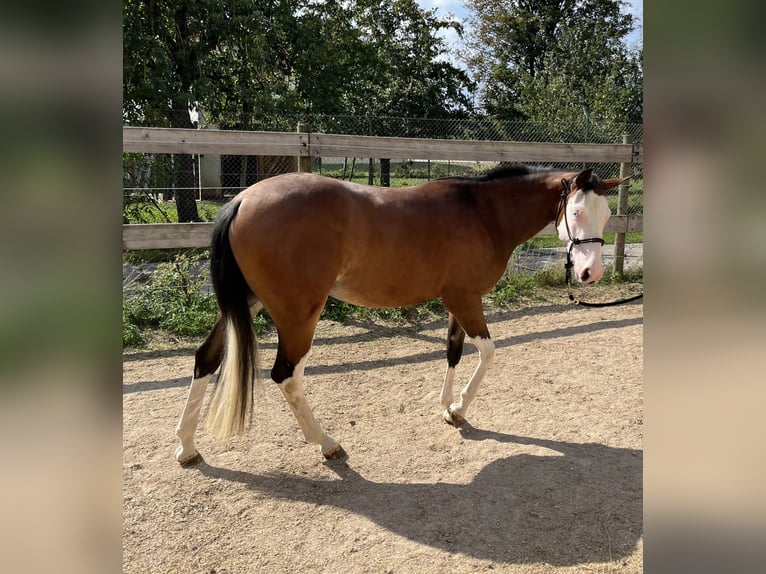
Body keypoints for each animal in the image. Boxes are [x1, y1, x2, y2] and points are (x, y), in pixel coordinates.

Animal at [176, 164, 632, 466]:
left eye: (607, 214)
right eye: (575, 212)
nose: (591, 273)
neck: (483, 213)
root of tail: (241, 200)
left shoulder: (458, 300)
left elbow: (453, 350)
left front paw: (448, 408)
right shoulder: (466, 300)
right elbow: (487, 353)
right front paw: (460, 407)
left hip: (247, 301)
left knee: (206, 357)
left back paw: (186, 446)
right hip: (297, 315)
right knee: (285, 375)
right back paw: (325, 442)